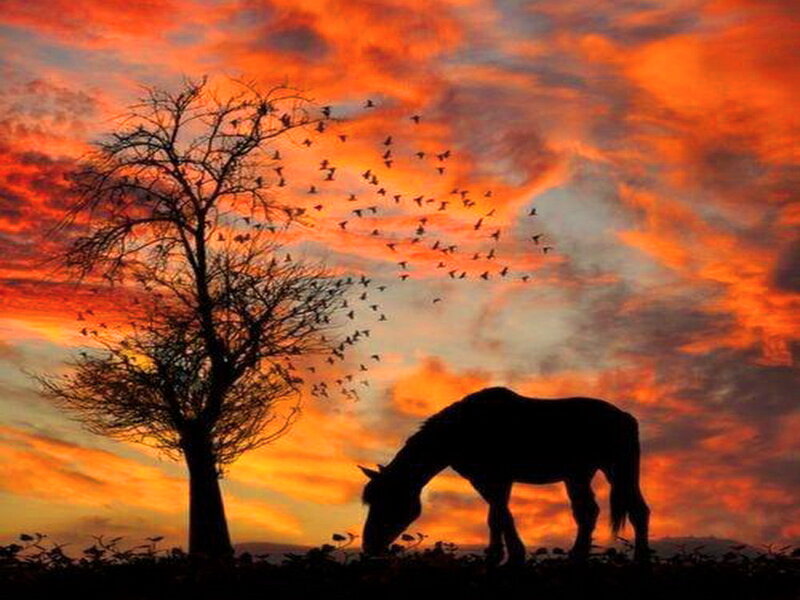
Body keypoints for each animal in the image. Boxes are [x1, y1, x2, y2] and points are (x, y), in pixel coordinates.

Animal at [359, 386, 650, 565]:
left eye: (388, 501)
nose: (369, 547)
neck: (461, 430)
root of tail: (625, 416)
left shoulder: (499, 478)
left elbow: (499, 516)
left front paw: (508, 558)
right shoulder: (483, 481)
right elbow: (497, 517)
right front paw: (500, 556)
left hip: (616, 470)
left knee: (635, 512)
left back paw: (639, 563)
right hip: (579, 475)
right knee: (591, 513)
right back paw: (577, 560)